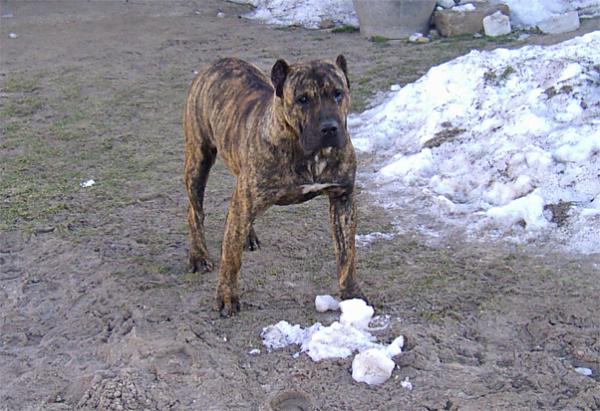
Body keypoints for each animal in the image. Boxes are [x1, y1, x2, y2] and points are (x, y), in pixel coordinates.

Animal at [182, 55, 366, 318]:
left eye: (338, 93)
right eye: (302, 99)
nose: (329, 127)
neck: (308, 154)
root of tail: (218, 62)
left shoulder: (342, 198)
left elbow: (346, 253)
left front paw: (352, 295)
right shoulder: (244, 201)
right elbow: (231, 258)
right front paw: (227, 296)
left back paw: (249, 236)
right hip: (198, 160)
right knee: (195, 211)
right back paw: (198, 255)